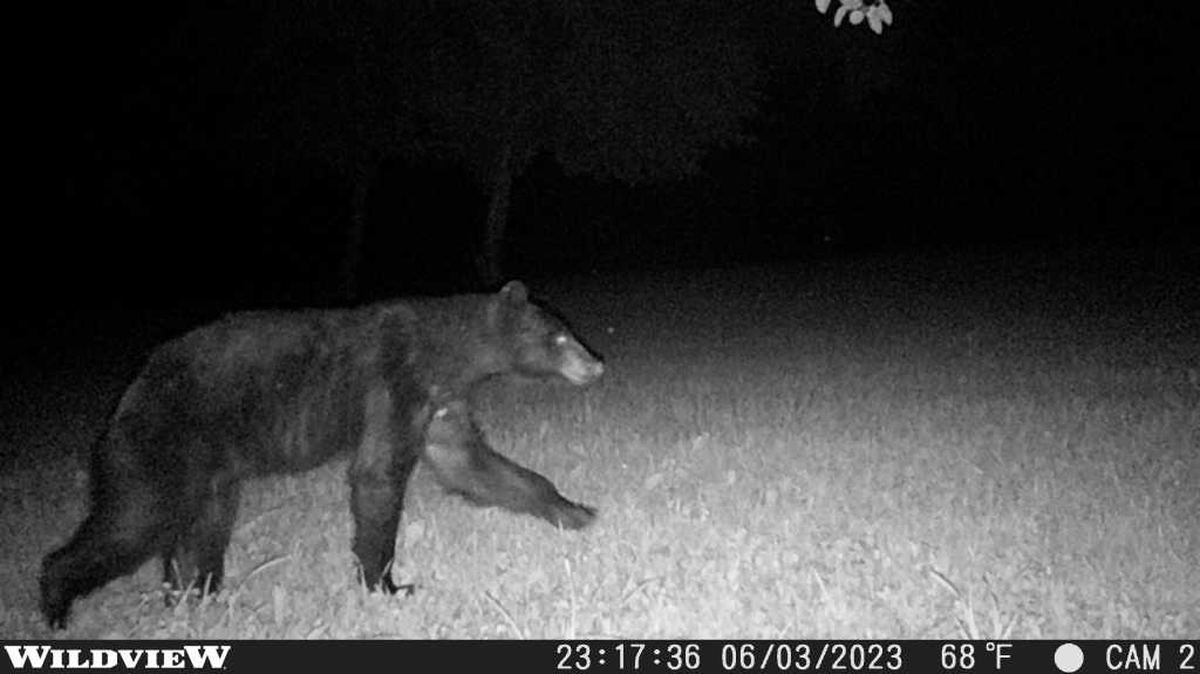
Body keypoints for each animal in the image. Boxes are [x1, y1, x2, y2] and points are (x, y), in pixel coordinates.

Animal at [40, 280, 603, 629]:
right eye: (559, 336)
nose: (596, 365)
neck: (448, 353)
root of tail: (130, 393)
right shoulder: (395, 384)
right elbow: (377, 475)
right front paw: (387, 586)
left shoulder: (440, 404)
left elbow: (473, 464)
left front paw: (575, 511)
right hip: (161, 446)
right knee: (135, 520)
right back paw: (57, 606)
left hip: (212, 471)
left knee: (201, 531)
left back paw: (195, 598)